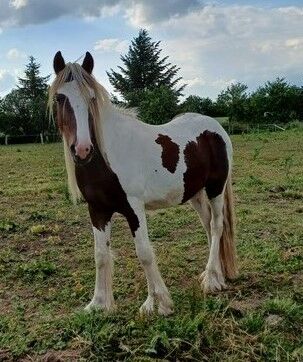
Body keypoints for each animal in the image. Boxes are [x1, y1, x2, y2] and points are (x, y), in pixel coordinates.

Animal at [48, 51, 238, 316]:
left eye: (92, 99)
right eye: (59, 97)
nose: (83, 150)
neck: (107, 156)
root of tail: (215, 127)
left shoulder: (134, 209)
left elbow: (144, 252)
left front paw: (159, 302)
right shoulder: (97, 210)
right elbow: (100, 254)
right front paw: (99, 303)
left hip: (215, 188)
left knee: (218, 225)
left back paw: (211, 280)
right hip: (196, 193)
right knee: (208, 226)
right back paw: (216, 274)